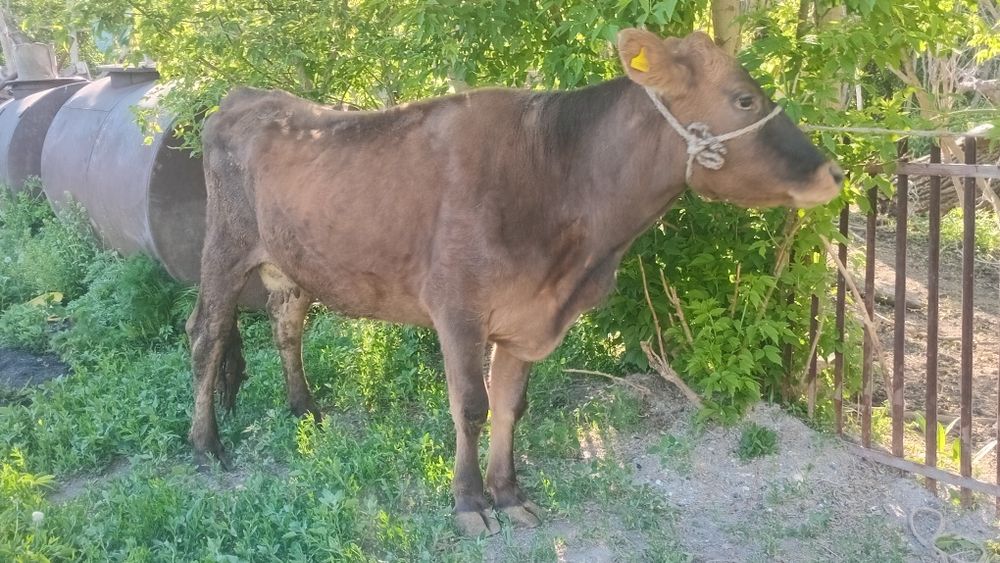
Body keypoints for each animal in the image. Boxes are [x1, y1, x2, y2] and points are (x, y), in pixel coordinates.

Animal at [186, 28, 843, 536]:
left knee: (286, 324)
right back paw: (207, 445)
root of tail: (240, 98)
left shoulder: (527, 318)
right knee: (206, 335)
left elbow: (510, 406)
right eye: (744, 99)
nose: (834, 174)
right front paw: (469, 504)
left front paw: (509, 493)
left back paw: (305, 410)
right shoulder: (458, 309)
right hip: (223, 247)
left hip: (290, 261)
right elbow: (471, 406)